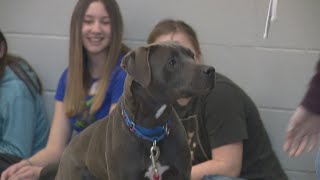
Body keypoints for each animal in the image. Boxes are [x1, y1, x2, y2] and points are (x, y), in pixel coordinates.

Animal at [55, 42, 215, 180]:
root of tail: (67, 150)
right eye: (172, 62)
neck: (152, 130)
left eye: (192, 56)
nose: (211, 70)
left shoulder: (181, 173)